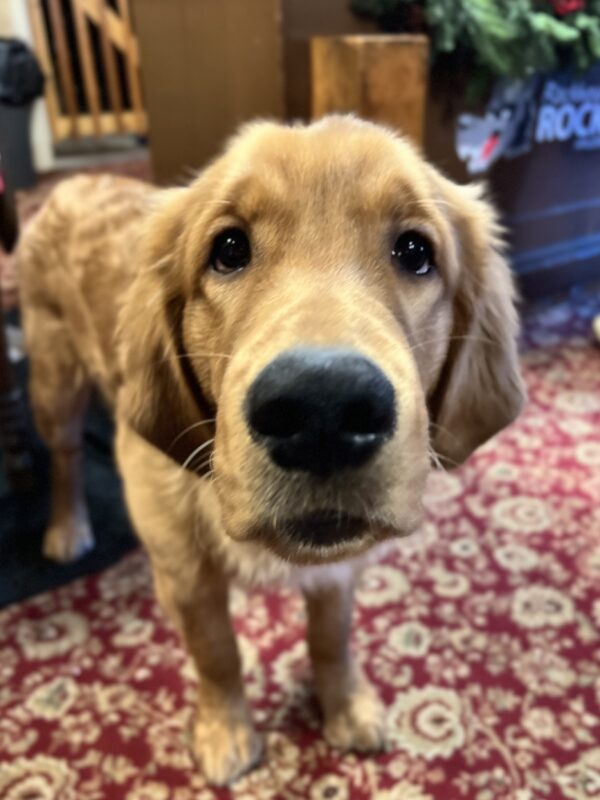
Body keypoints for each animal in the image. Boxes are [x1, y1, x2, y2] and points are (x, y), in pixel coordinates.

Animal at [17, 115, 524, 784]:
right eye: (229, 249)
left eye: (416, 252)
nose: (323, 412)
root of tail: (74, 181)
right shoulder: (186, 573)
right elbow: (217, 654)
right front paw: (226, 729)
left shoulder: (340, 567)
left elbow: (331, 636)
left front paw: (345, 705)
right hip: (53, 381)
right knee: (66, 458)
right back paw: (66, 527)